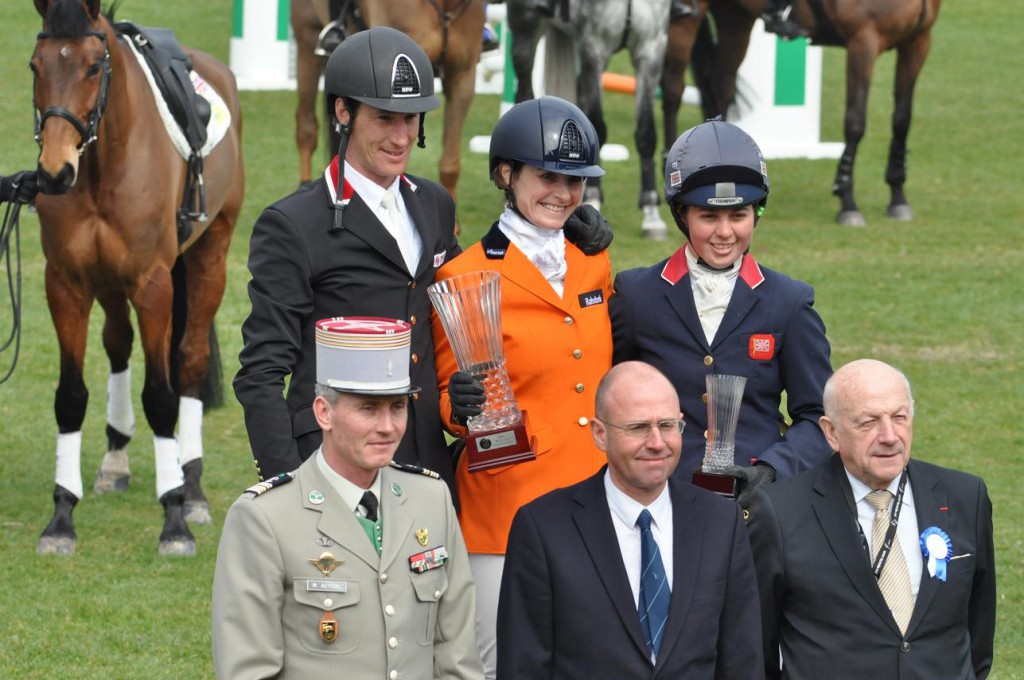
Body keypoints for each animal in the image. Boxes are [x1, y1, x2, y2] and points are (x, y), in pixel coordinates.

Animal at [32, 0, 243, 553]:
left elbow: (162, 397)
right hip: (111, 283)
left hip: (209, 255)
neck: (101, 167)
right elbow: (70, 397)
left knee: (187, 362)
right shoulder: (66, 283)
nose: (54, 172)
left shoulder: (153, 284)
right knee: (119, 343)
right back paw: (116, 460)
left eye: (93, 67)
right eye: (36, 66)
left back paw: (192, 486)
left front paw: (175, 519)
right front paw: (61, 516)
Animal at [509, 0, 671, 238]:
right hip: (525, 27)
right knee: (524, 93)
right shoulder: (593, 45)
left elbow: (646, 134)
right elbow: (597, 129)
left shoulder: (651, 49)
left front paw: (652, 215)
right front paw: (593, 198)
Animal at [663, 0, 942, 228]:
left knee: (722, 83)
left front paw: (898, 197)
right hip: (688, 20)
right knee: (673, 90)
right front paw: (847, 201)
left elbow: (902, 119)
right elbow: (855, 121)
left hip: (735, 17)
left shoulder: (917, 43)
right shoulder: (863, 41)